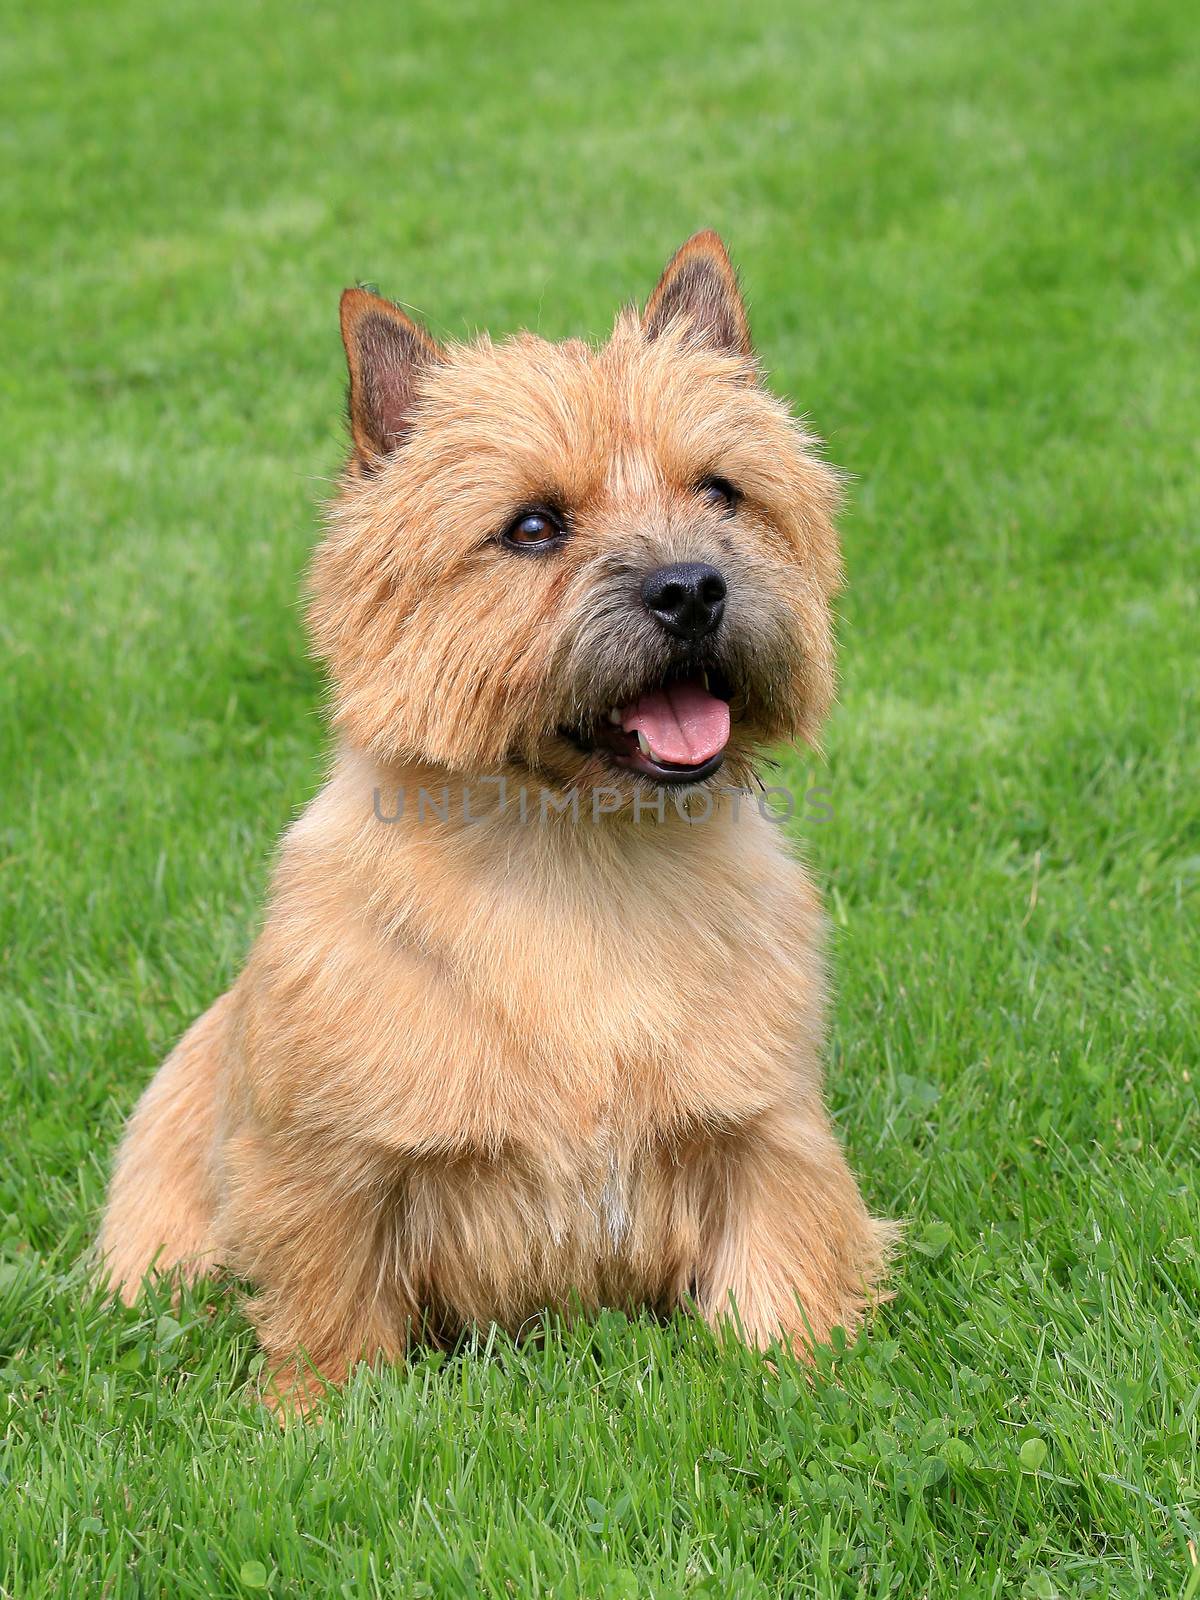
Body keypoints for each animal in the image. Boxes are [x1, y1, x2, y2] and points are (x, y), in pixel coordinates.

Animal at [101, 232, 896, 1408]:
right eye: (531, 527)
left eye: (722, 492)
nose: (692, 587)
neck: (583, 856)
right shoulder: (330, 1164)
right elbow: (326, 1293)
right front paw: (314, 1415)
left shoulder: (766, 1126)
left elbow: (783, 1255)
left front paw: (798, 1368)